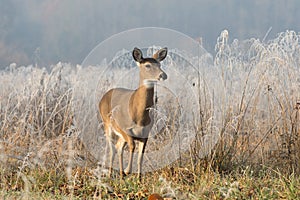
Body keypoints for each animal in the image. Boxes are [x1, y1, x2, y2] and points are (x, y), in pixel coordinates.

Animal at [99, 46, 168, 180]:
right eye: (147, 65)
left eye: (159, 64)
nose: (163, 75)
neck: (138, 115)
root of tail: (104, 96)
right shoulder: (124, 129)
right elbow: (132, 146)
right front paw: (128, 170)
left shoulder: (146, 133)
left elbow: (140, 156)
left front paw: (139, 178)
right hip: (107, 123)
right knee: (112, 149)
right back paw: (111, 174)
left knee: (118, 147)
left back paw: (120, 174)